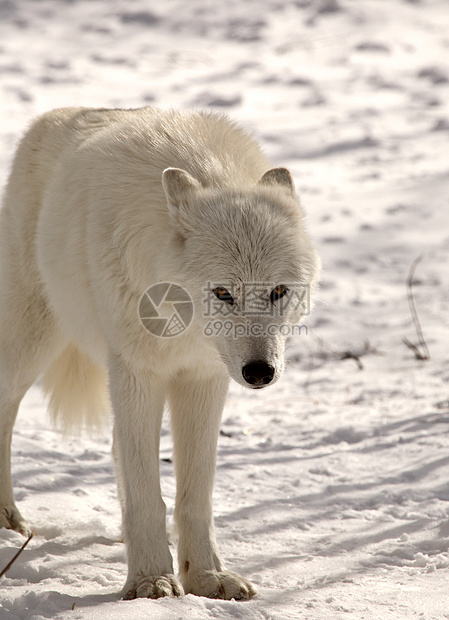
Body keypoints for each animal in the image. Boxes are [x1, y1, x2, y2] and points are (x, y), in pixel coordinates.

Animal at [0, 108, 318, 600]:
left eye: (278, 291)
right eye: (222, 293)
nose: (260, 372)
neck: (182, 329)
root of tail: (50, 117)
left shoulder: (204, 379)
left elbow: (194, 495)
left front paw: (206, 577)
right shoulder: (137, 372)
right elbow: (148, 496)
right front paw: (150, 581)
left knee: (118, 450)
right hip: (31, 344)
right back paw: (7, 520)